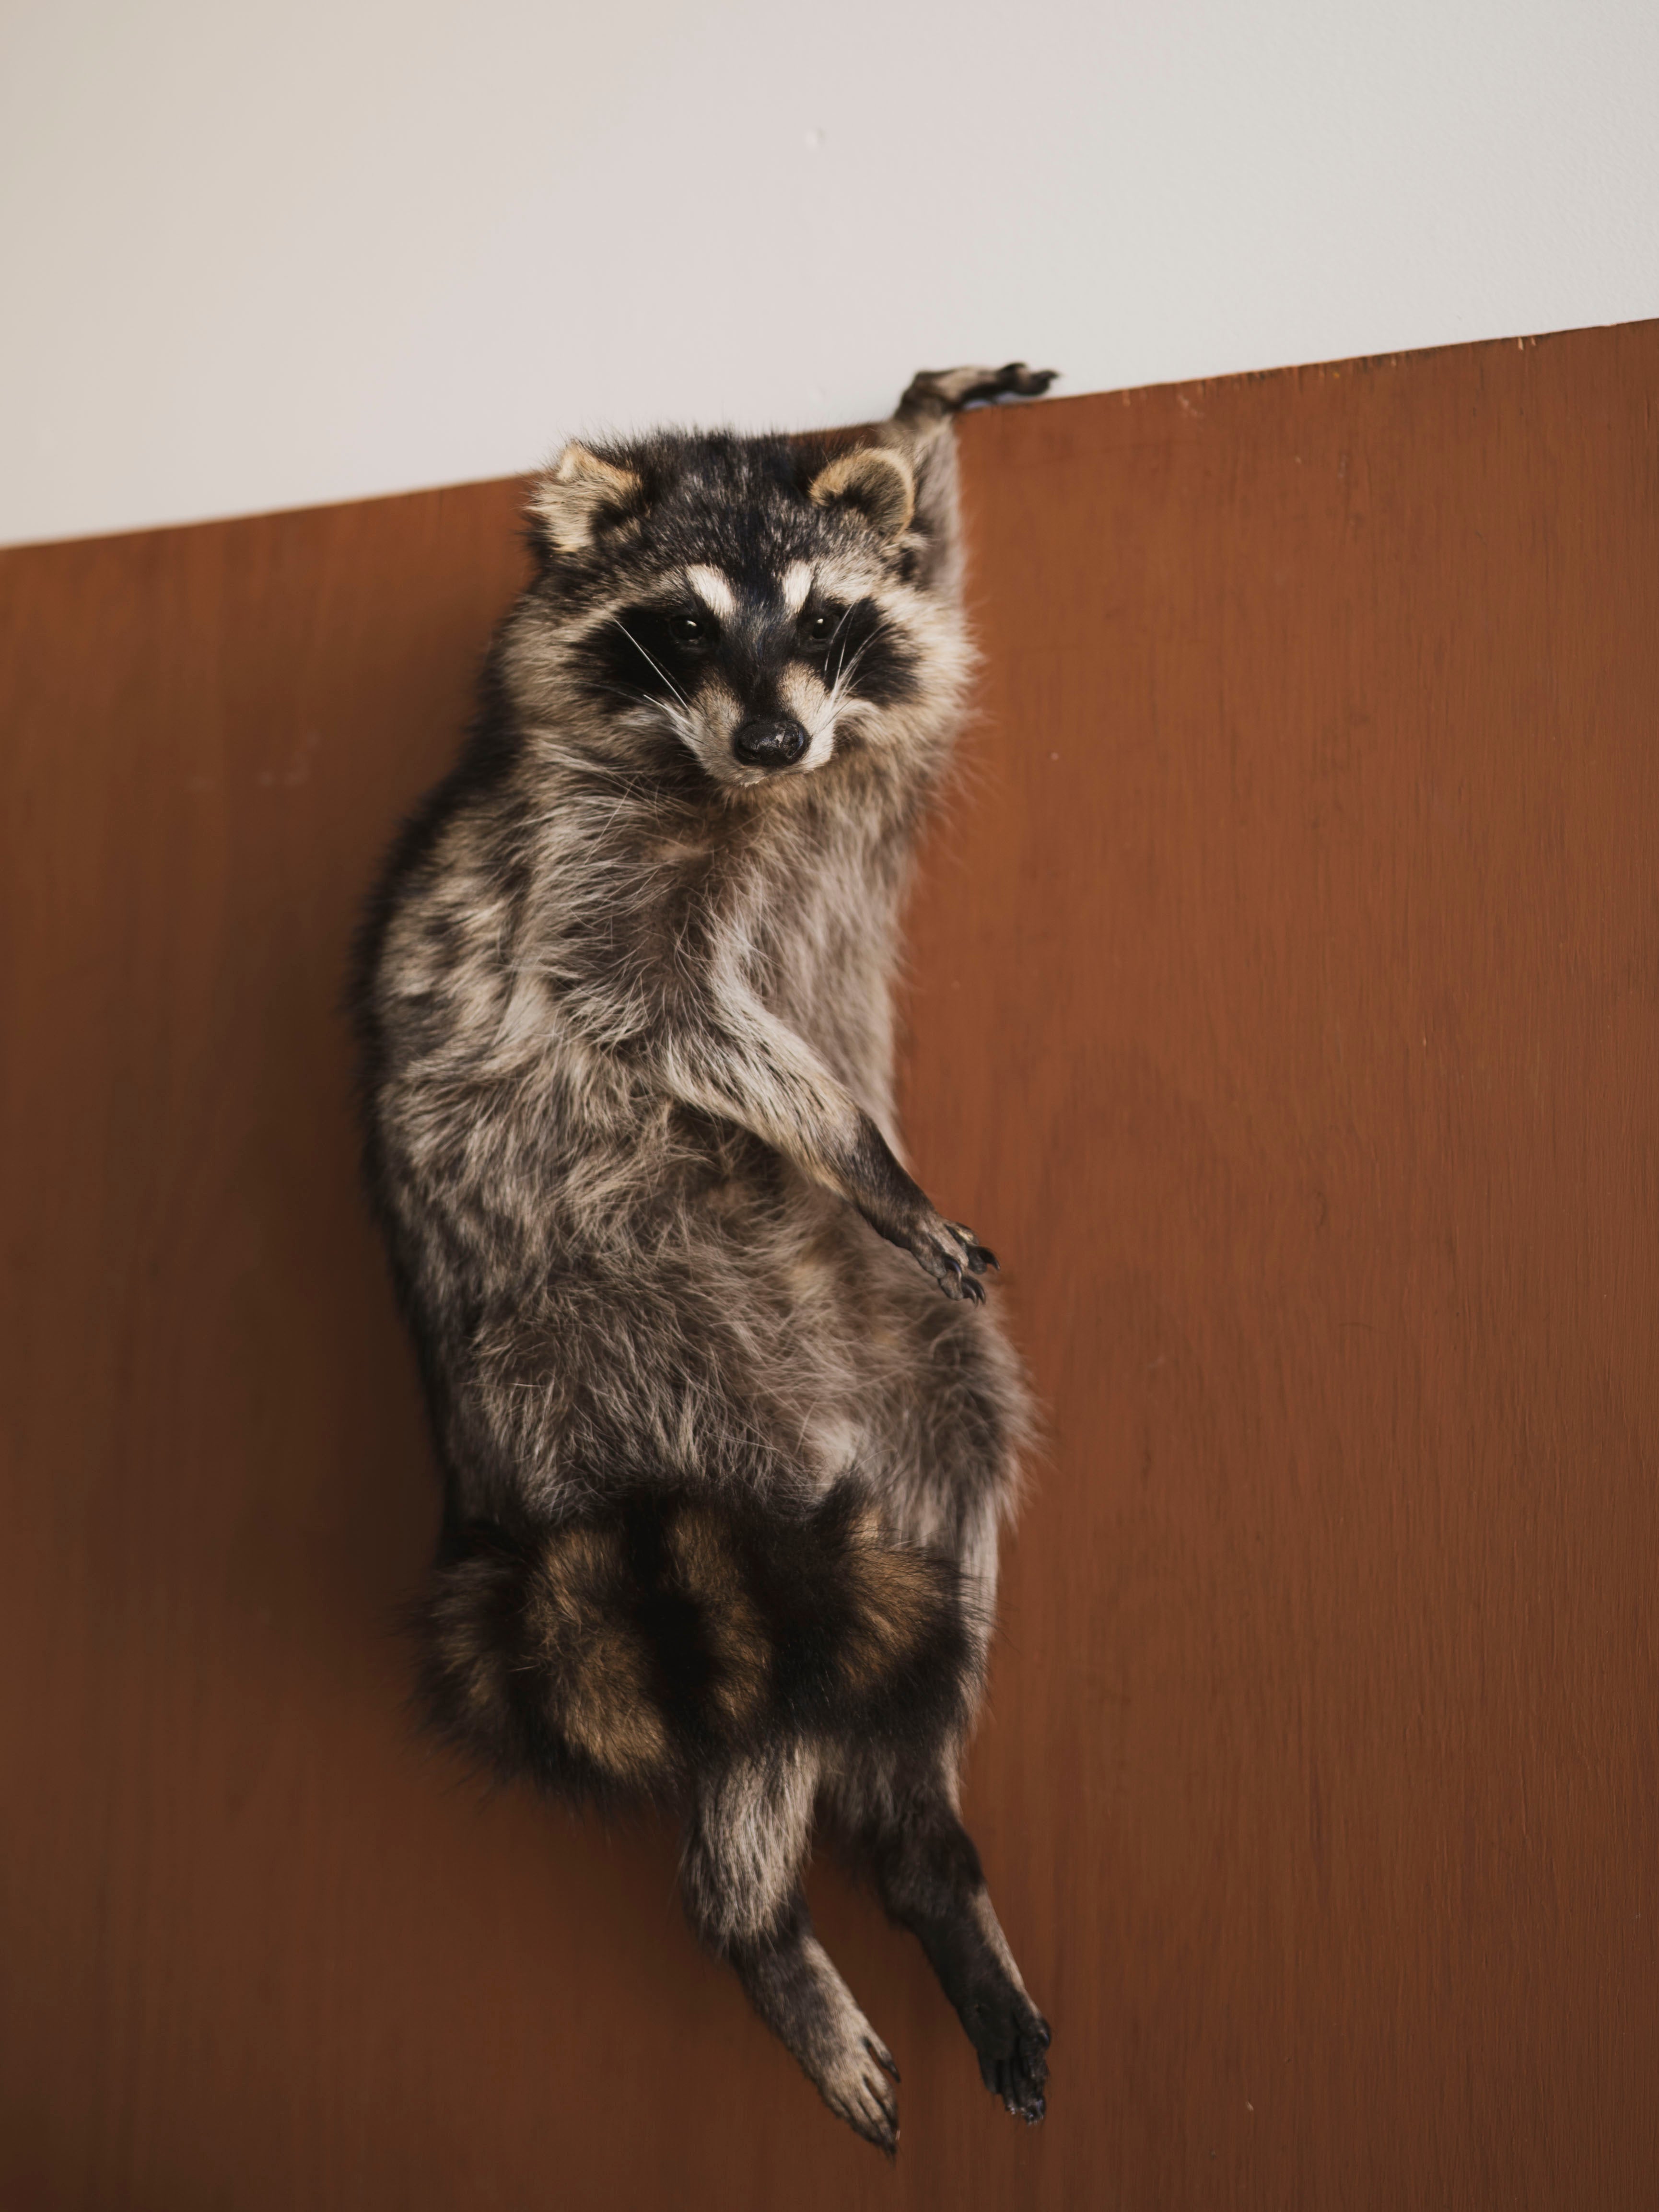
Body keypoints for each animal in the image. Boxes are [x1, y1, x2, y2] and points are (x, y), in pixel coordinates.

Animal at [352, 363, 1056, 2152]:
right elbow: (640, 998)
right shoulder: (582, 861)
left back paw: (922, 1844)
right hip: (638, 1346)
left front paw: (918, 427)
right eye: (678, 623)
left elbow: (939, 589)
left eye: (820, 619)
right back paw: (756, 1918)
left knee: (941, 1506)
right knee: (778, 1606)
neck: (755, 780)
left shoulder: (869, 749)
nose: (774, 734)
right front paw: (854, 1146)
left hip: (899, 1342)